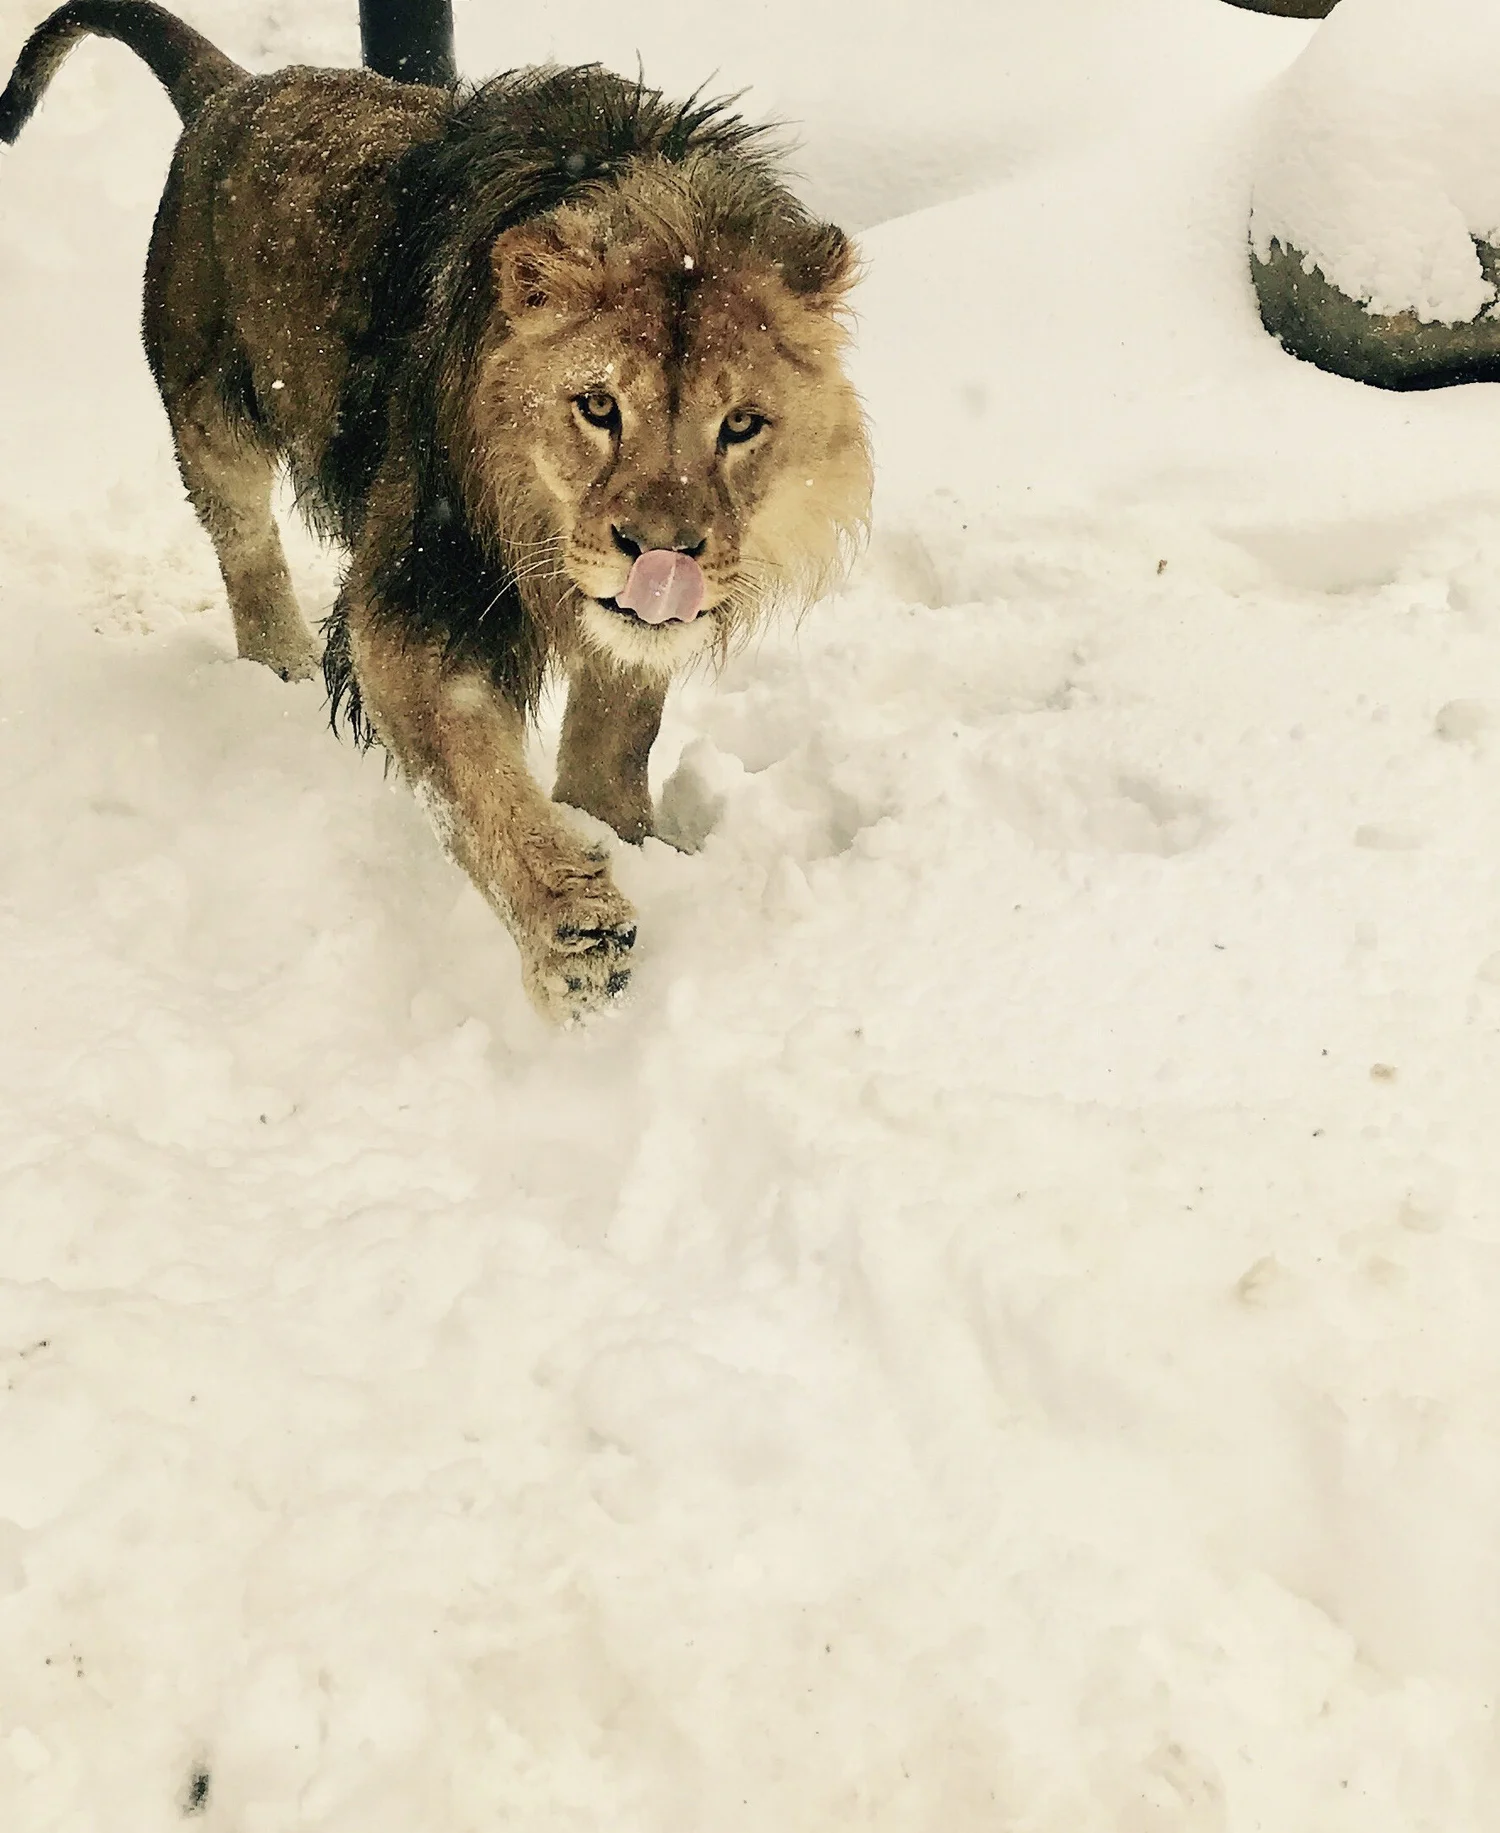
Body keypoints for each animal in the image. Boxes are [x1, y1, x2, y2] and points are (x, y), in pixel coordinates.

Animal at [0, 1, 872, 1021]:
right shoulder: (415, 597)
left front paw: (625, 832)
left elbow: (616, 741)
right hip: (211, 415)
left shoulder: (629, 634)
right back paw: (281, 662)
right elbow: (473, 775)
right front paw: (573, 932)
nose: (664, 555)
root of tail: (231, 88)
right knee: (246, 546)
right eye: (598, 406)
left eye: (741, 424)